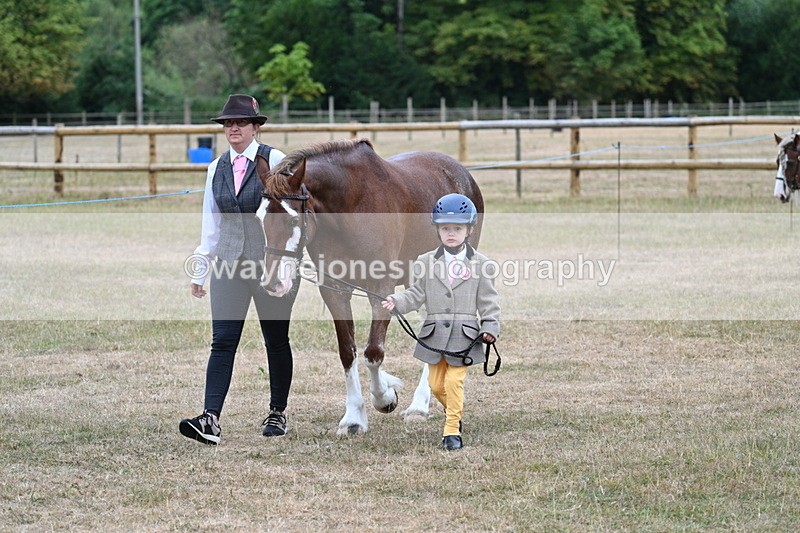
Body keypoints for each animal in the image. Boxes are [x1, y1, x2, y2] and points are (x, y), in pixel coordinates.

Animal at [254, 138, 484, 435]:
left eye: (293, 219)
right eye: (259, 218)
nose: (273, 283)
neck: (349, 209)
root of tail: (461, 174)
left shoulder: (381, 288)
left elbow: (373, 352)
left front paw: (384, 398)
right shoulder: (334, 291)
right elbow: (348, 352)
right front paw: (354, 416)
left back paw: (419, 407)